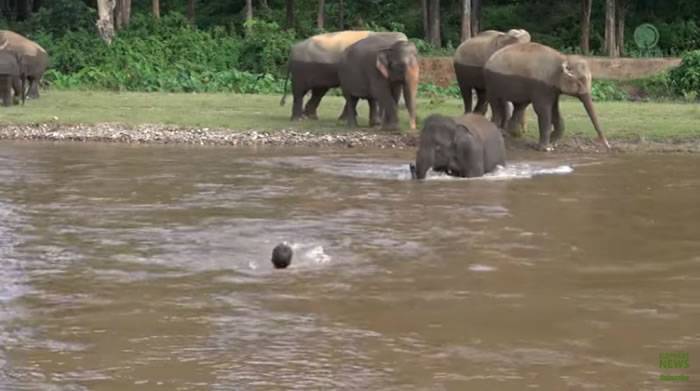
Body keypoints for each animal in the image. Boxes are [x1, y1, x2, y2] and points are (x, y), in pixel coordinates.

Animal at [280, 30, 408, 121]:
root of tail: (292, 50)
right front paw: (345, 119)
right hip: (300, 70)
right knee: (300, 92)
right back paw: (299, 119)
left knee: (319, 91)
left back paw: (311, 117)